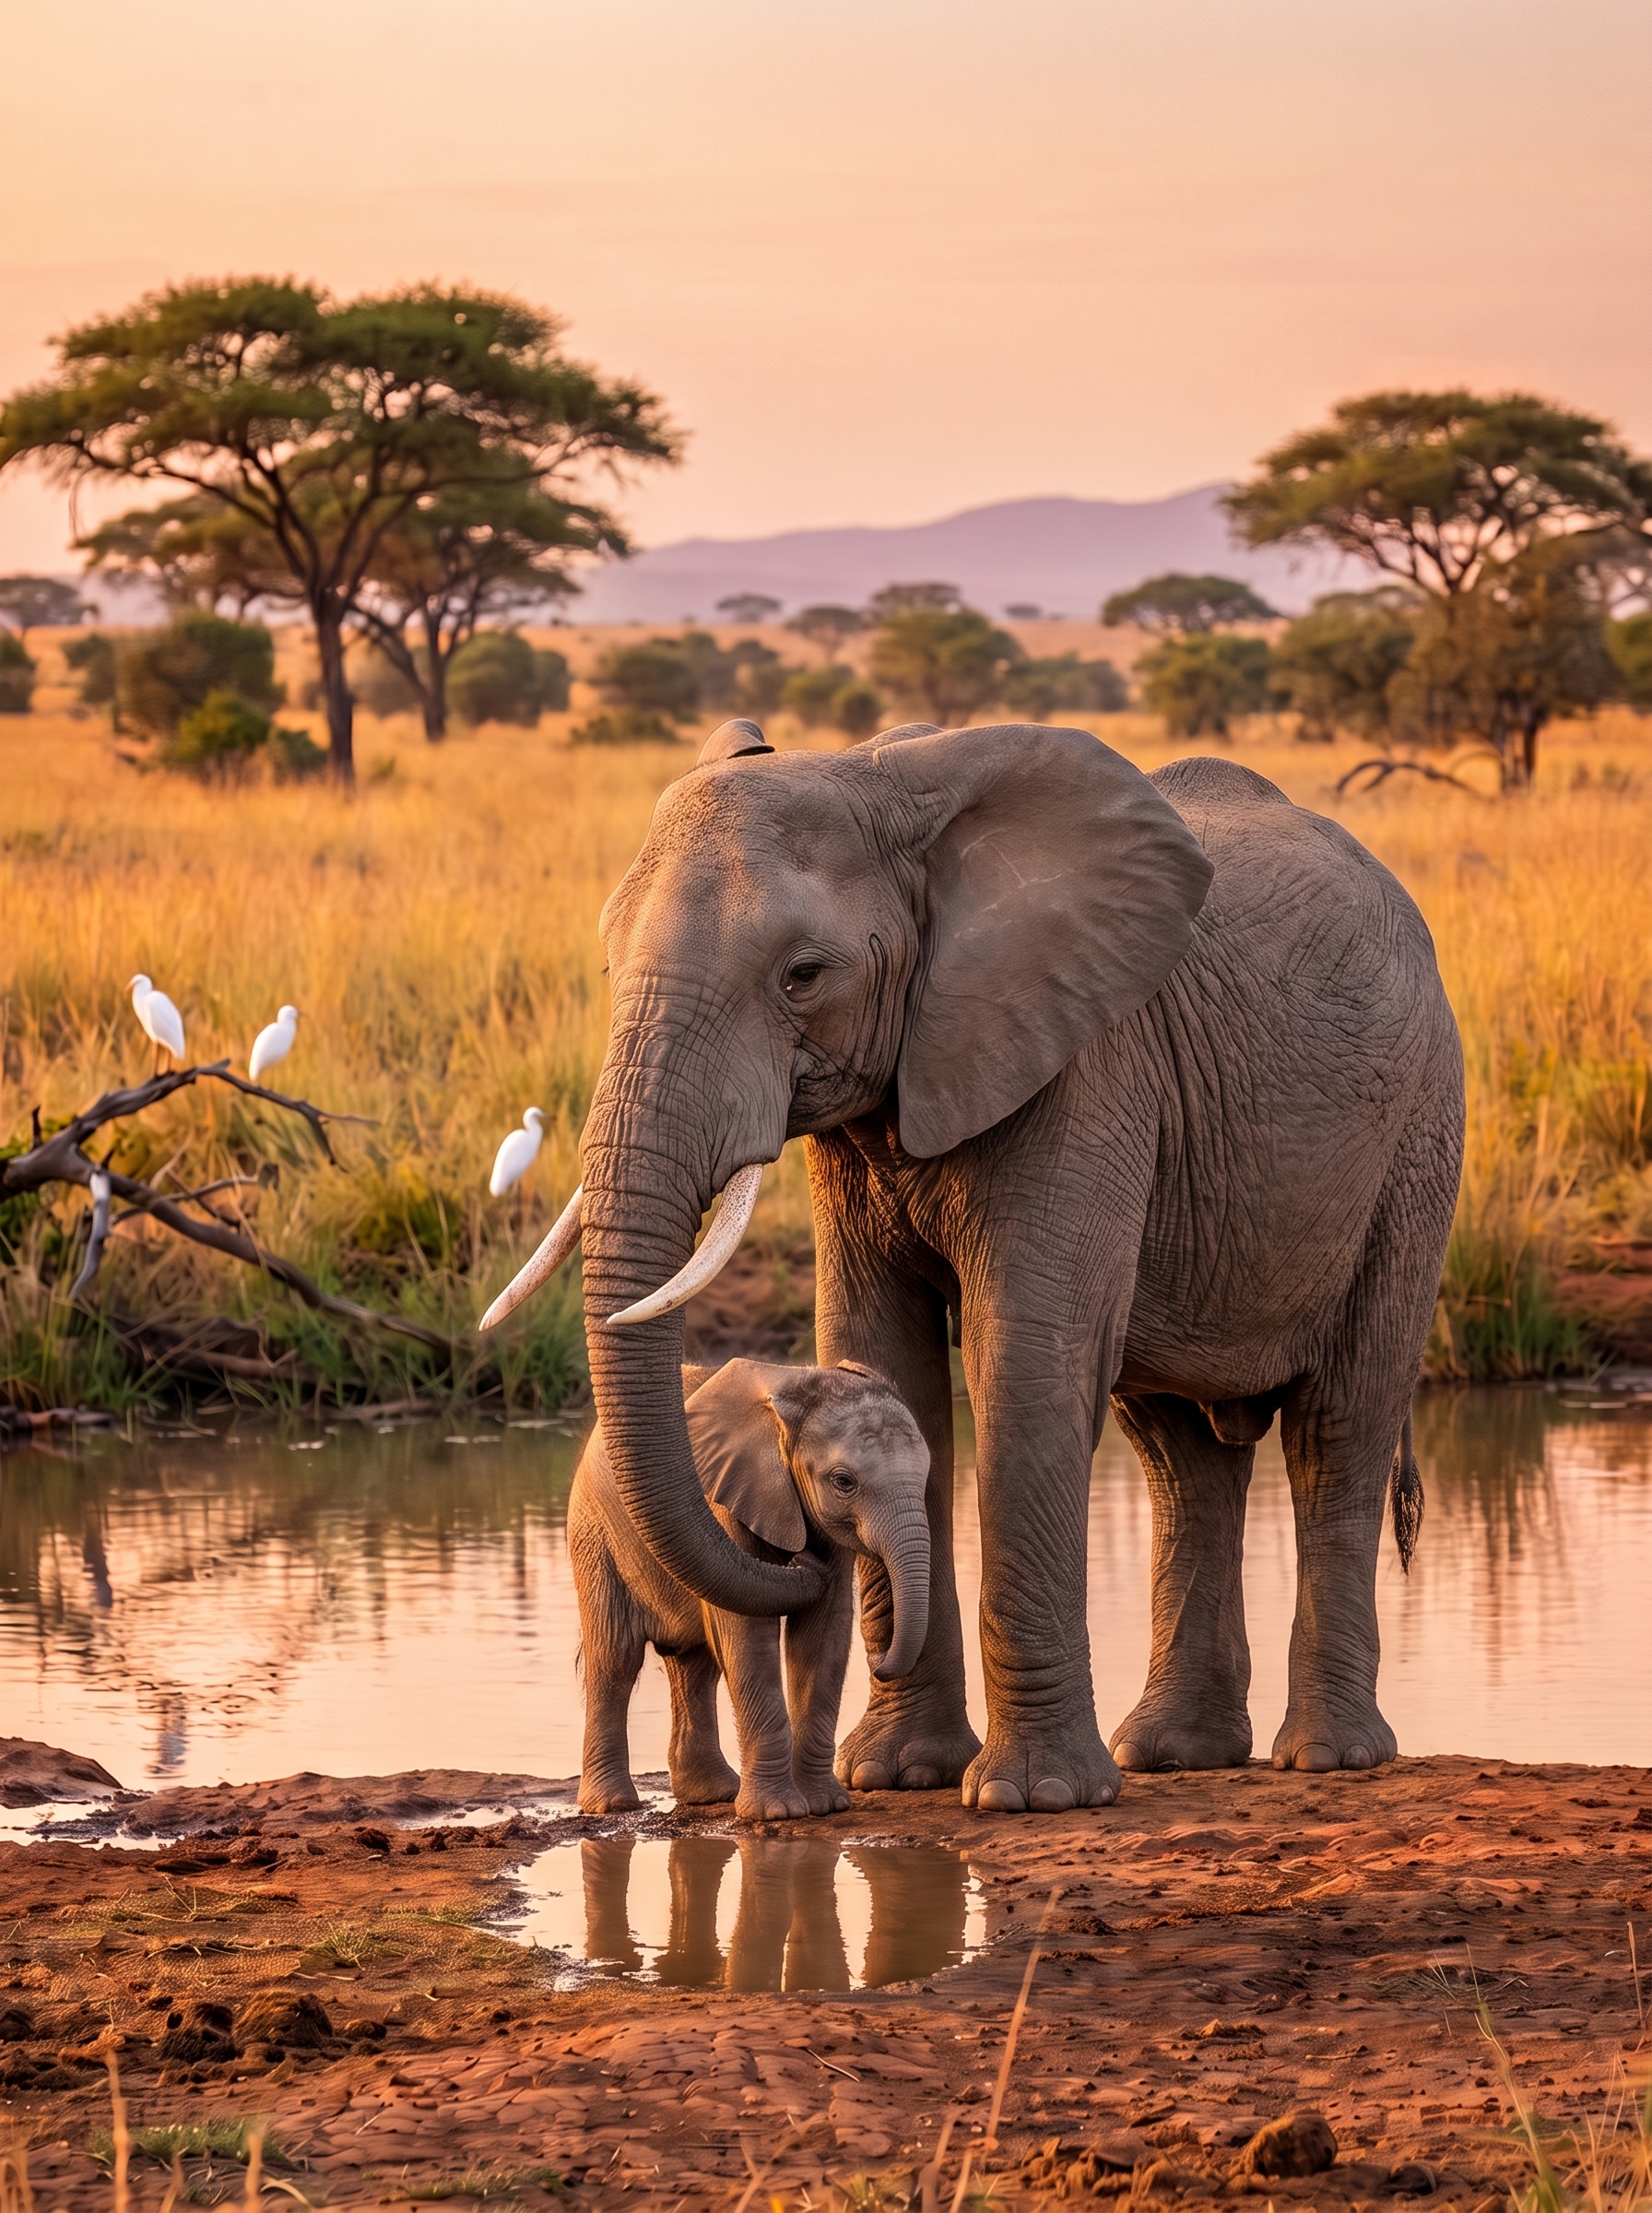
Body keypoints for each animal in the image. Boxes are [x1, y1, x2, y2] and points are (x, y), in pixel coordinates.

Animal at [569, 1356, 931, 1822]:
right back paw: (611, 1805)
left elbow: (824, 1633)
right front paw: (777, 1813)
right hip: (593, 1535)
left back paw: (713, 1794)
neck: (794, 1393)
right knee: (615, 1657)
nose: (880, 1659)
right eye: (844, 1482)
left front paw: (825, 1806)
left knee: (694, 1665)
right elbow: (750, 1635)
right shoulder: (727, 1503)